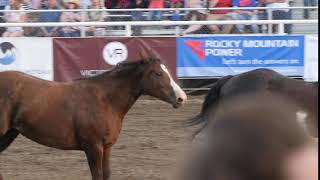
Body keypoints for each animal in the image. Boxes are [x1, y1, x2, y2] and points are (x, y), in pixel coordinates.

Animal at [0, 56, 188, 179]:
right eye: (158, 73)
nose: (181, 98)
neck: (105, 100)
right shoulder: (93, 147)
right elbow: (97, 176)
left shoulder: (106, 147)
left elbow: (106, 175)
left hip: (9, 134)